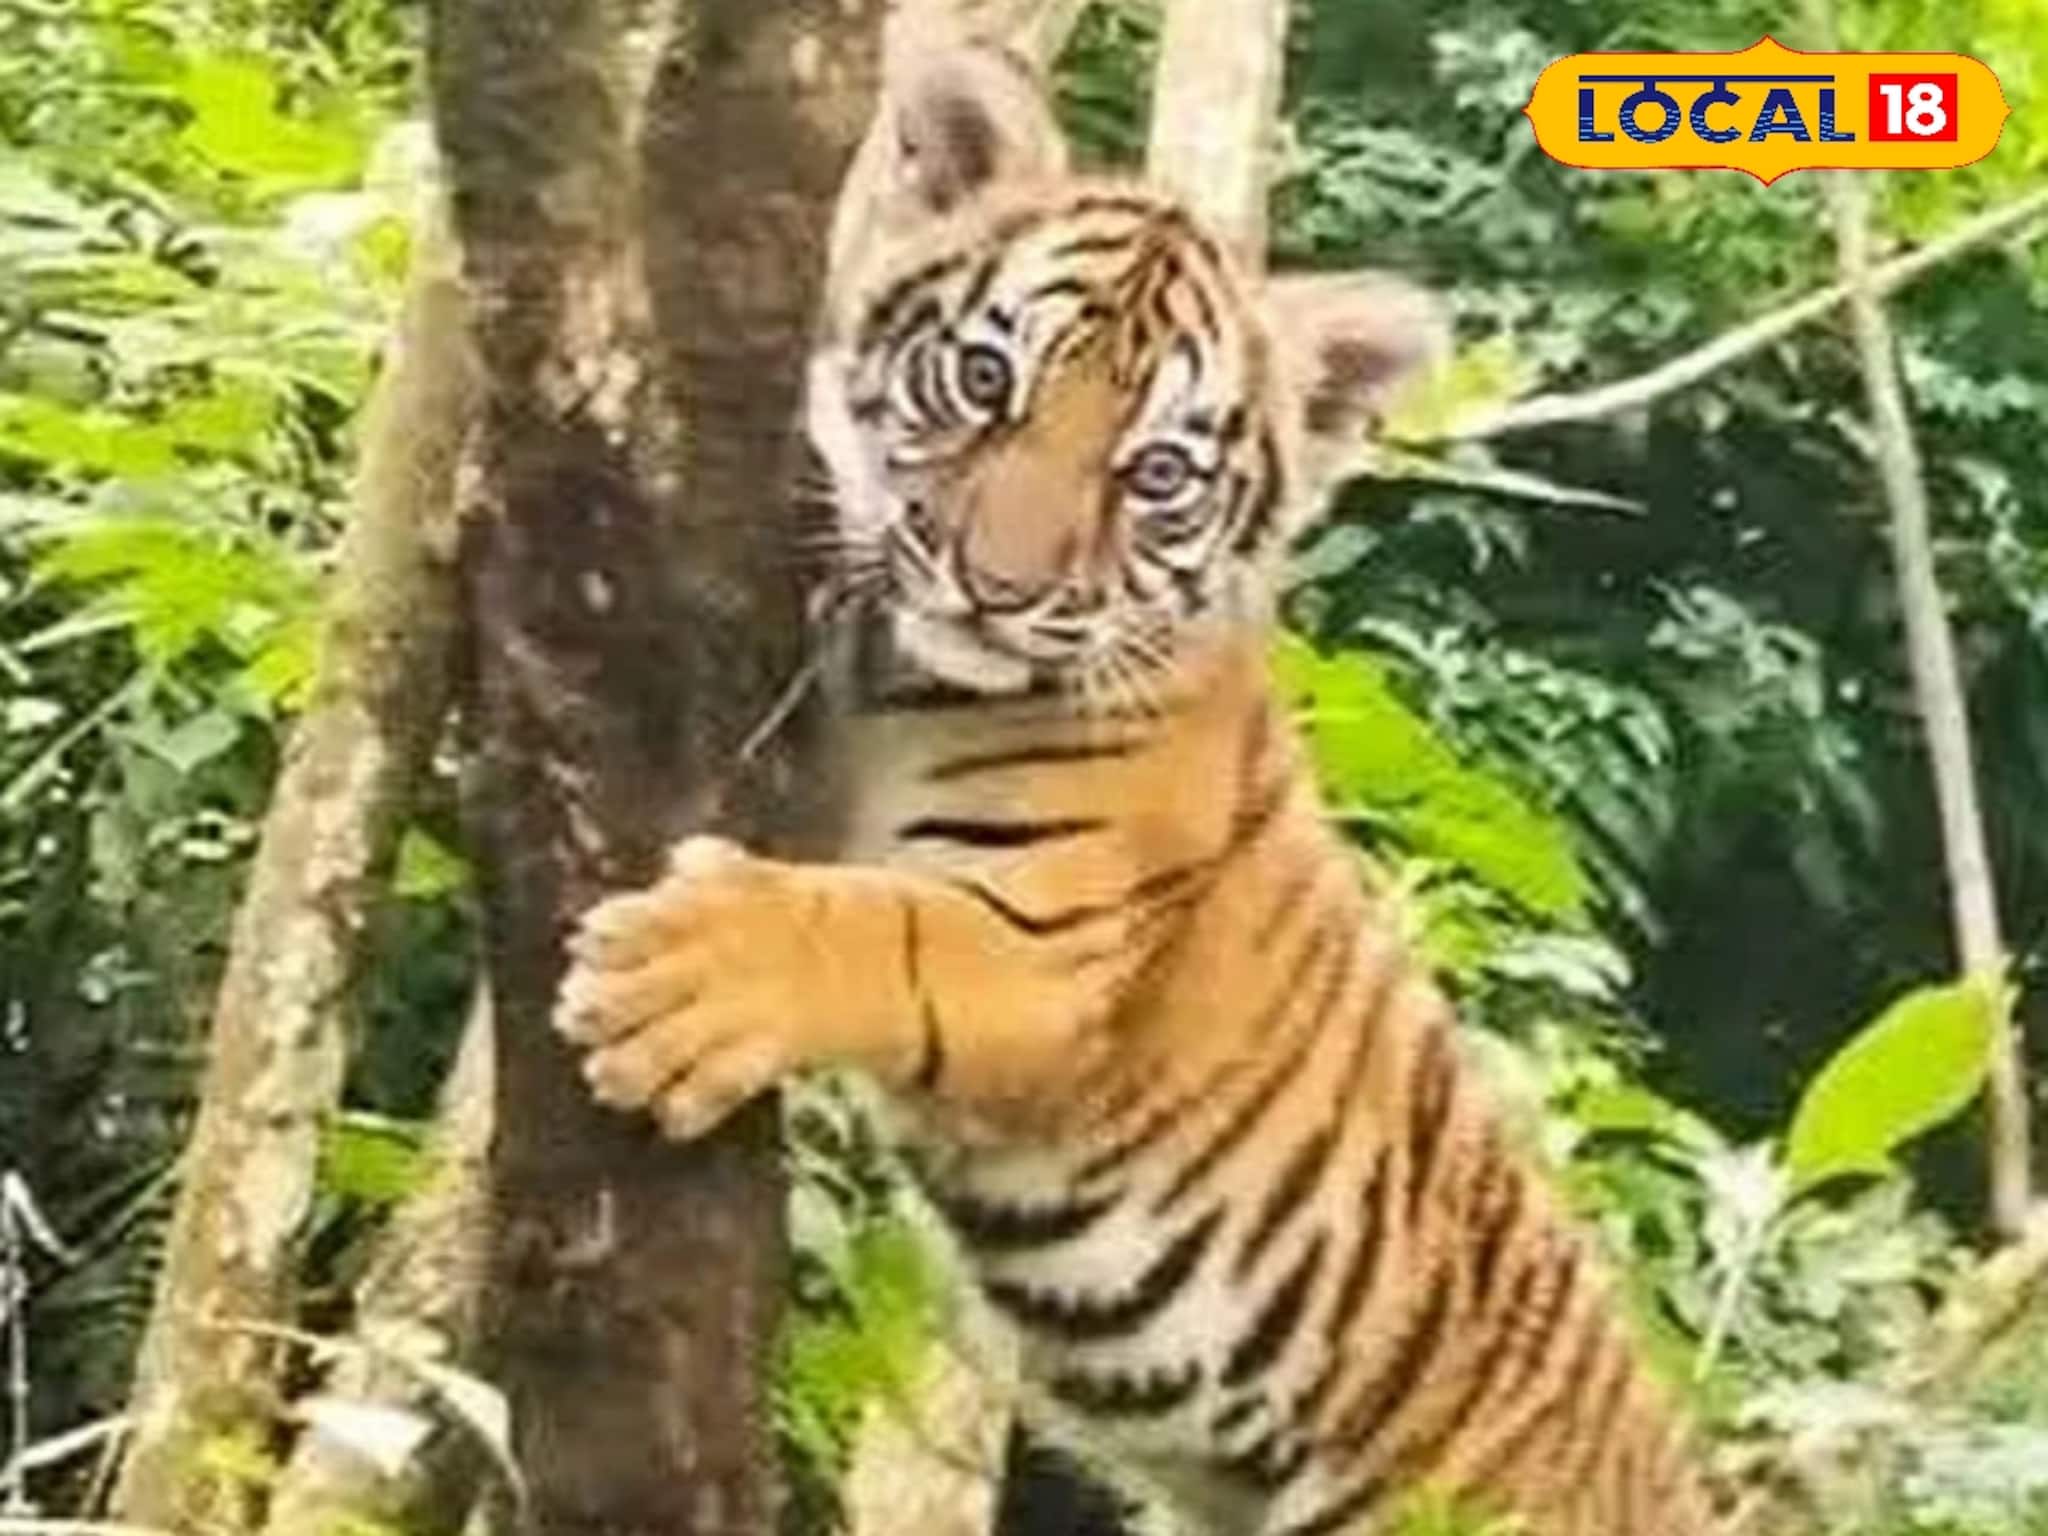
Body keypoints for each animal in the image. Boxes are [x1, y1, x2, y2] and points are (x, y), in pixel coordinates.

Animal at [553, 40, 1719, 1536]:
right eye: (983, 378)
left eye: (1156, 473)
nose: (995, 588)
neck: (904, 686)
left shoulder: (1049, 948)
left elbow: (876, 929)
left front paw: (680, 976)